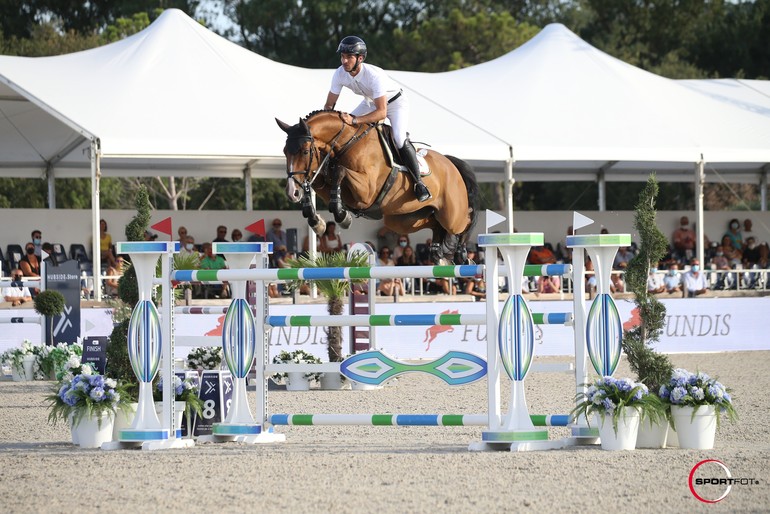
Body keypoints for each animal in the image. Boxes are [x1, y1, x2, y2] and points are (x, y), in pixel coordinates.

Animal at [276, 109, 476, 262]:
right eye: (285, 151)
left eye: (305, 151)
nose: (291, 192)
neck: (347, 143)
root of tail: (451, 163)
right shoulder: (332, 185)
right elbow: (319, 182)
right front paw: (317, 221)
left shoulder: (366, 192)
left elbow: (340, 171)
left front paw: (341, 216)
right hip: (404, 220)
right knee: (434, 224)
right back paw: (437, 250)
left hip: (451, 216)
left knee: (465, 220)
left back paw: (461, 252)